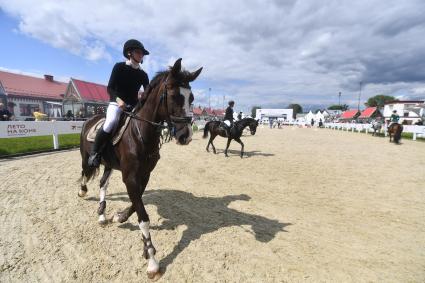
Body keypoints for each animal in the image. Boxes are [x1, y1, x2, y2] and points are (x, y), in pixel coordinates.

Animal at [77, 58, 200, 280]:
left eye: (191, 97)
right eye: (174, 96)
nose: (186, 136)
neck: (140, 134)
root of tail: (89, 120)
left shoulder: (144, 175)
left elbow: (137, 203)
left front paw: (121, 217)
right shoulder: (130, 177)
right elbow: (143, 218)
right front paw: (151, 260)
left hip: (109, 164)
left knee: (103, 184)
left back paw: (102, 215)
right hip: (87, 158)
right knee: (85, 172)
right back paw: (82, 192)